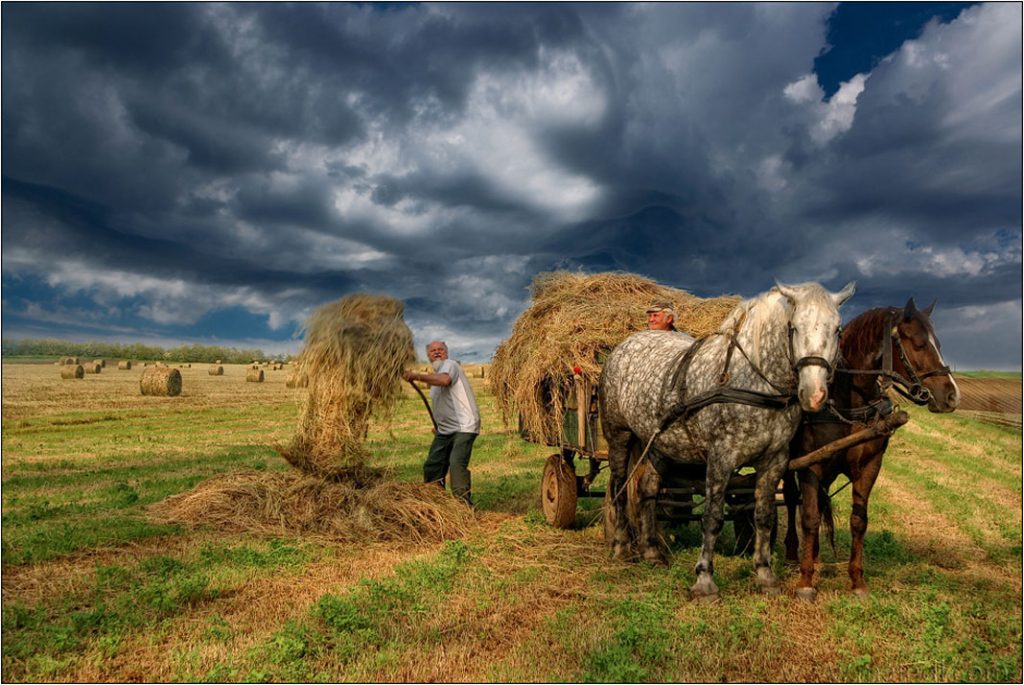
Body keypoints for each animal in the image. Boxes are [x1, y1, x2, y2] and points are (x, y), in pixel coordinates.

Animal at [598, 280, 856, 593]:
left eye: (837, 329)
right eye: (794, 327)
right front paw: (704, 579)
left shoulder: (775, 460)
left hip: (658, 444)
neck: (751, 380)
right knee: (618, 487)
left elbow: (764, 515)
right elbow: (712, 517)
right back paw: (622, 546)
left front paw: (765, 574)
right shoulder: (721, 457)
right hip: (618, 435)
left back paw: (651, 551)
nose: (814, 394)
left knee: (647, 490)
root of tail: (624, 346)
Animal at [782, 296, 958, 602]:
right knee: (793, 501)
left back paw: (814, 554)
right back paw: (794, 552)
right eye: (918, 344)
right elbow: (810, 517)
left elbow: (858, 520)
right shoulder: (810, 466)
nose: (951, 396)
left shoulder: (869, 465)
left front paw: (857, 581)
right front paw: (805, 581)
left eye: (937, 342)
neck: (847, 403)